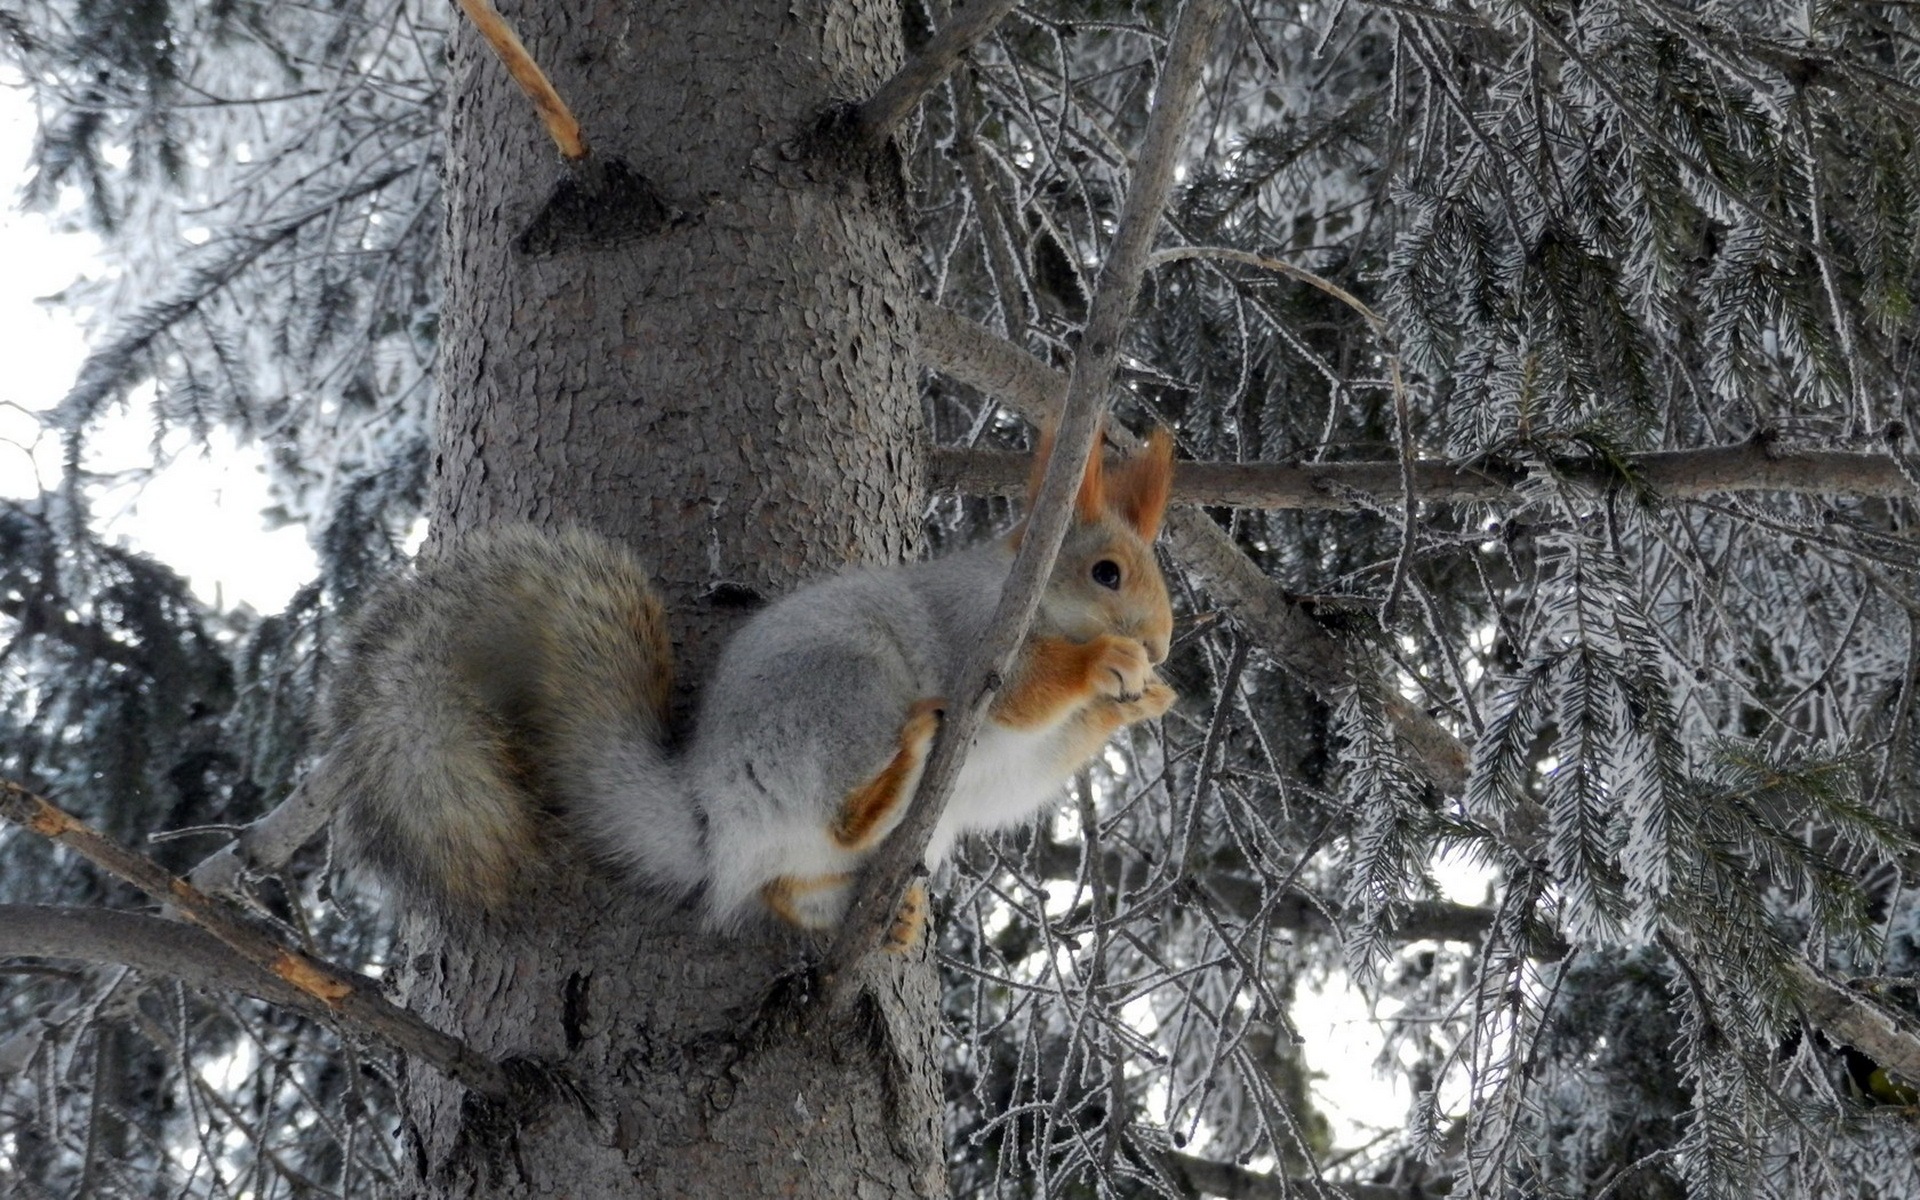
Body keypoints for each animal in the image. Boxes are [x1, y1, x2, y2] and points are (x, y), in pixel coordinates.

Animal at [318, 428, 1167, 944]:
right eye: (1106, 572)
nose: (1160, 641)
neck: (1033, 594)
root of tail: (713, 815)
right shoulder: (977, 633)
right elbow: (1022, 690)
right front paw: (1108, 664)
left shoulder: (1028, 759)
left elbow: (1037, 767)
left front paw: (1148, 698)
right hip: (844, 695)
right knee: (843, 818)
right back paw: (898, 774)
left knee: (789, 887)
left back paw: (886, 916)